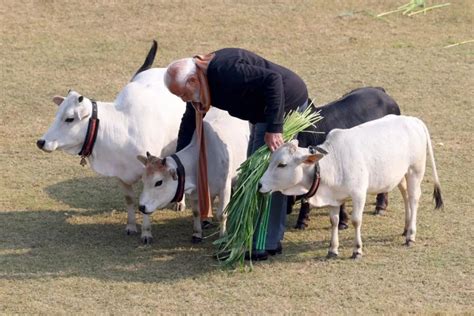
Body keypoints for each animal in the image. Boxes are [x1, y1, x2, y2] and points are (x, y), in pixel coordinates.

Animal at [137, 107, 250, 243]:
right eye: (143, 180)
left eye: (158, 182)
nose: (141, 207)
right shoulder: (195, 192)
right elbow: (196, 212)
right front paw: (197, 233)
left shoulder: (224, 188)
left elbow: (222, 214)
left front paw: (223, 237)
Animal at [258, 115, 442, 258]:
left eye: (282, 164)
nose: (260, 184)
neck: (332, 163)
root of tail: (414, 120)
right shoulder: (333, 198)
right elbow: (334, 221)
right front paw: (332, 249)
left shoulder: (359, 194)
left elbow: (356, 220)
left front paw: (357, 250)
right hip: (400, 175)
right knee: (405, 196)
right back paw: (405, 228)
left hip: (415, 171)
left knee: (414, 199)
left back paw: (411, 235)